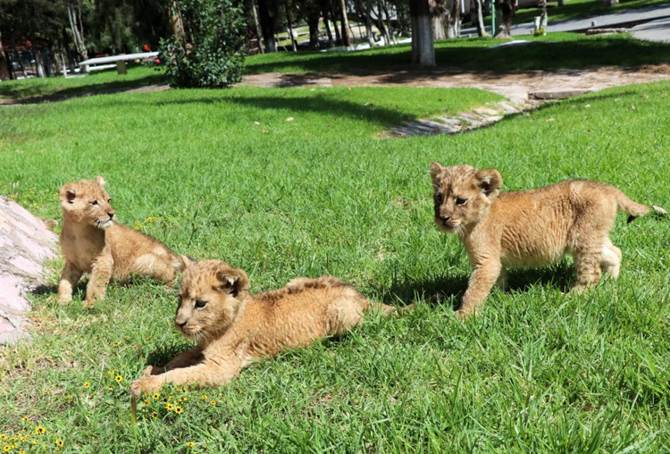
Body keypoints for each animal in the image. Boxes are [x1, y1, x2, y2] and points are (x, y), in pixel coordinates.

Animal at [58, 177, 186, 306]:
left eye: (108, 200)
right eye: (94, 202)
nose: (112, 214)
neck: (78, 231)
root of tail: (173, 254)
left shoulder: (103, 260)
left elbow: (95, 284)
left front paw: (91, 302)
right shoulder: (73, 262)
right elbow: (65, 281)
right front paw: (62, 300)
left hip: (144, 261)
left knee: (171, 278)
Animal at [130, 259, 395, 396]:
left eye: (201, 304)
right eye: (180, 298)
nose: (179, 323)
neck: (216, 329)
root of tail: (358, 294)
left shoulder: (221, 368)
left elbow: (181, 375)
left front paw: (145, 384)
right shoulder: (201, 348)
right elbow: (179, 358)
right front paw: (153, 369)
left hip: (341, 313)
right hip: (296, 280)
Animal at [430, 162, 666, 318]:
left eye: (460, 200)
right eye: (439, 197)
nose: (442, 218)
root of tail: (606, 187)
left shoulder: (486, 261)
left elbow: (475, 288)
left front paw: (462, 316)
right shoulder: (496, 261)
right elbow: (497, 280)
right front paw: (499, 297)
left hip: (582, 238)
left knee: (591, 273)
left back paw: (571, 295)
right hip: (593, 235)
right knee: (615, 251)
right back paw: (612, 282)